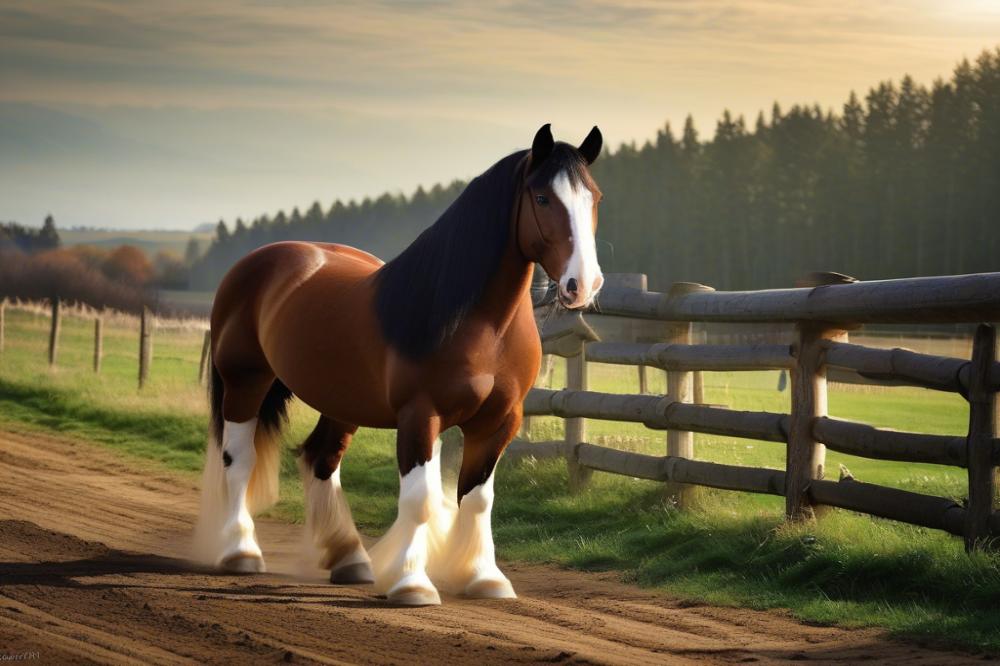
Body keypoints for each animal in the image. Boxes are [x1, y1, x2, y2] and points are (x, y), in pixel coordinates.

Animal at [194, 122, 600, 604]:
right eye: (541, 198)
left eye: (594, 197)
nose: (583, 284)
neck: (479, 321)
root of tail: (256, 263)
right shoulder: (420, 415)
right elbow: (419, 500)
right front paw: (412, 583)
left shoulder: (498, 421)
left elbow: (477, 499)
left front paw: (484, 578)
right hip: (245, 382)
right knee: (238, 460)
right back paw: (241, 552)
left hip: (341, 402)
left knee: (321, 459)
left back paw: (350, 558)